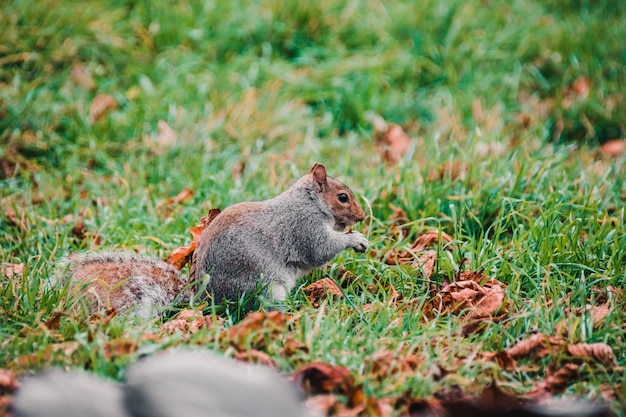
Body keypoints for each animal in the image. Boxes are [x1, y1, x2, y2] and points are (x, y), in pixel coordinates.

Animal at [59, 162, 366, 316]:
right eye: (342, 197)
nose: (362, 217)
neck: (311, 202)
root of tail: (205, 300)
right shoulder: (304, 226)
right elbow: (320, 250)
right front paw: (355, 239)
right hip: (264, 285)